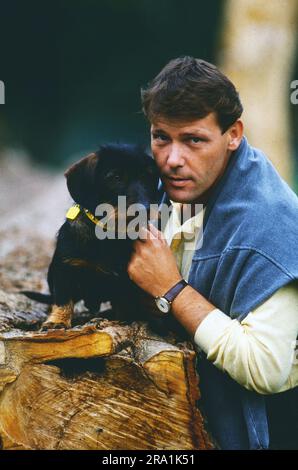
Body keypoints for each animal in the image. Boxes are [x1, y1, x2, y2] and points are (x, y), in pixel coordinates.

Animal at [22, 143, 162, 330]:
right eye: (116, 177)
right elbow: (63, 299)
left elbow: (124, 302)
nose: (145, 209)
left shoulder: (125, 279)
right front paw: (57, 321)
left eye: (147, 177)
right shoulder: (65, 269)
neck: (107, 235)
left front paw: (123, 321)